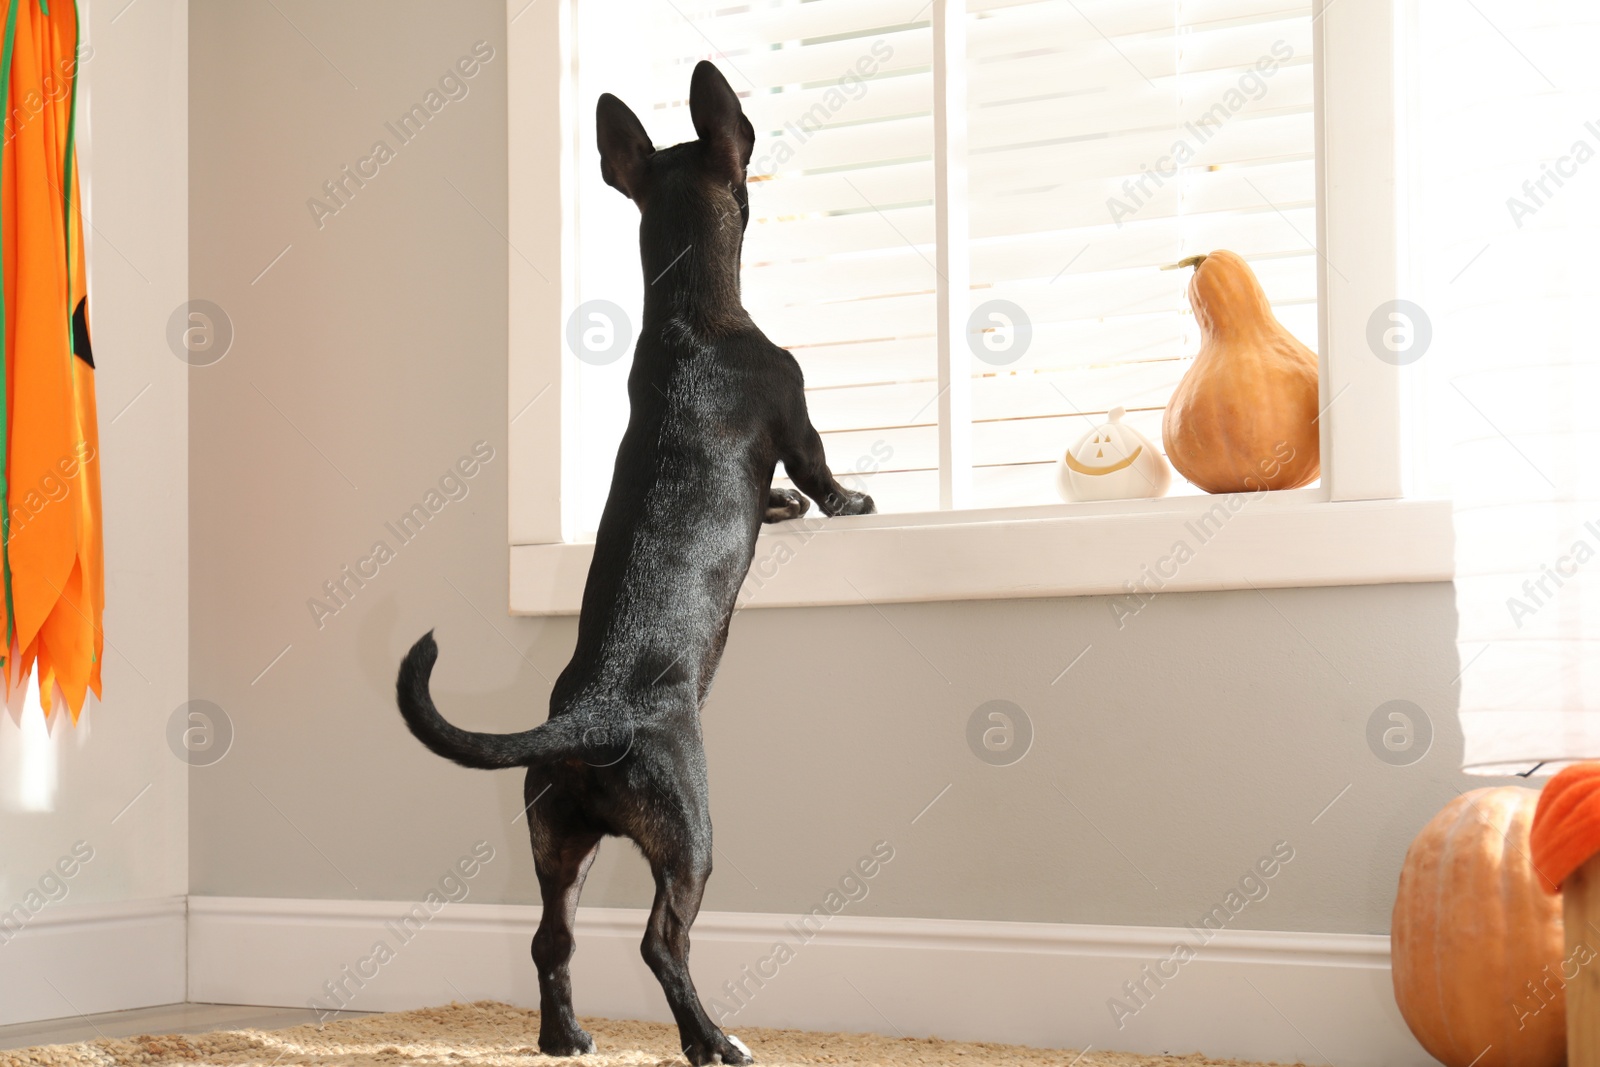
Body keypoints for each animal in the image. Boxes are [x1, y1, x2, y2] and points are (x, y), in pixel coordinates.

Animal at [400, 60, 876, 1067]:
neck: (691, 317)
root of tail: (589, 716)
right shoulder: (795, 407)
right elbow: (818, 472)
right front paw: (849, 501)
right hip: (688, 832)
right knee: (662, 940)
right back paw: (712, 1039)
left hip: (556, 837)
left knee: (551, 938)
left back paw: (564, 1034)